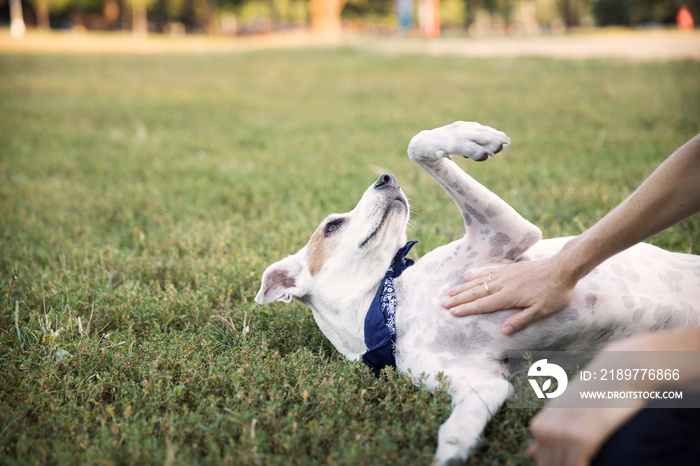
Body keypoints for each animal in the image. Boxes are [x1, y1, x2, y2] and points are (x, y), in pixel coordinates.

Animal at [256, 122, 700, 464]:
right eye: (332, 226)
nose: (385, 178)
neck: (393, 310)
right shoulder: (482, 382)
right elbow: (456, 429)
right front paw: (453, 452)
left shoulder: (509, 234)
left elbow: (417, 143)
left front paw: (472, 137)